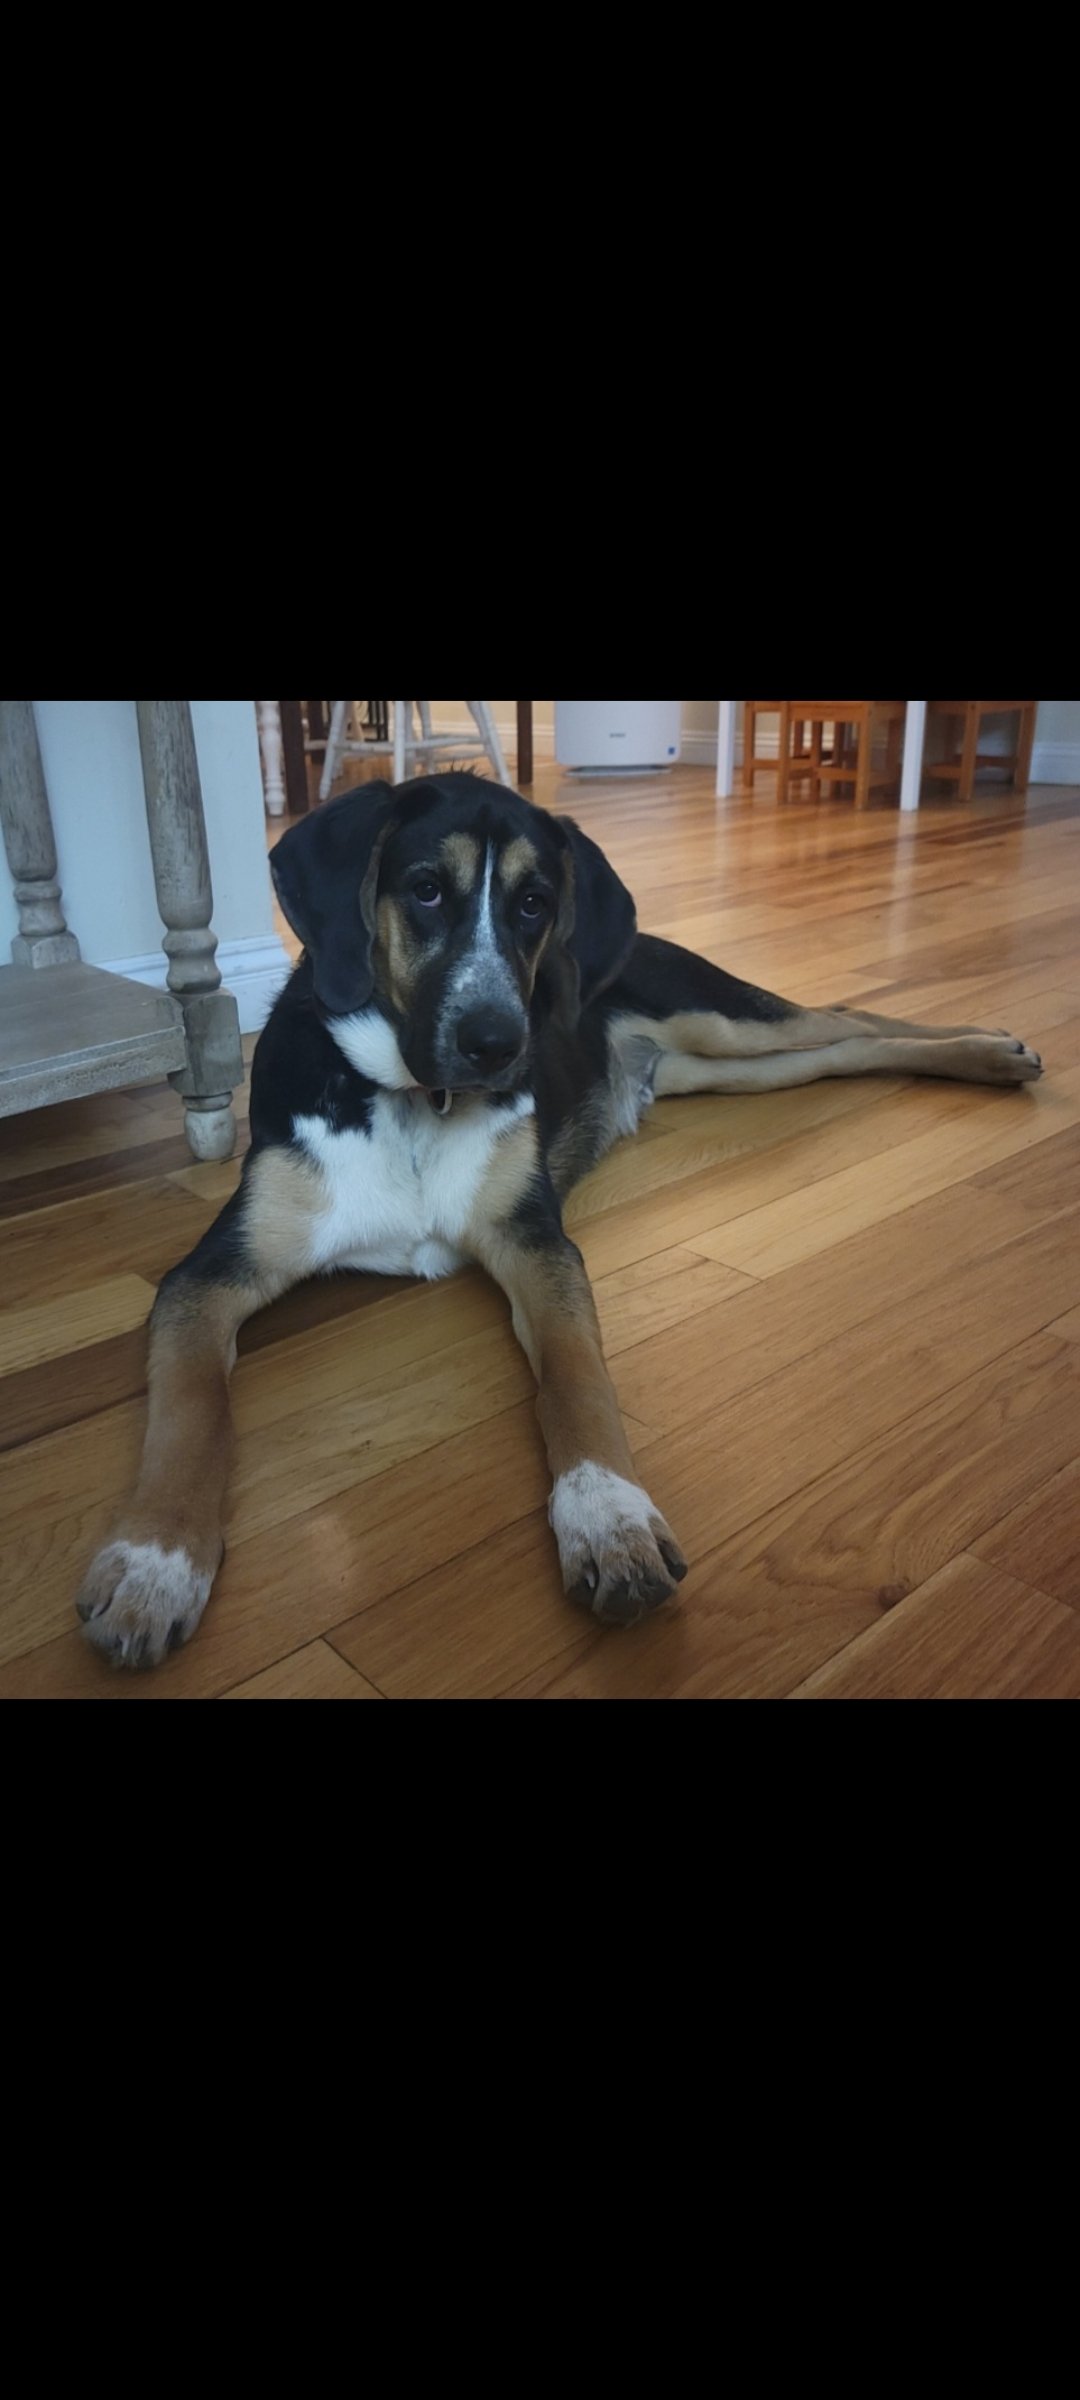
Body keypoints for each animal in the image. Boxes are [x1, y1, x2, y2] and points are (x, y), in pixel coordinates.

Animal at [74, 772, 1044, 1668]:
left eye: (535, 904)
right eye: (425, 889)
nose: (502, 1045)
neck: (413, 1105)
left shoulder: (535, 1243)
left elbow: (577, 1378)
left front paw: (609, 1519)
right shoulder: (209, 1276)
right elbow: (190, 1411)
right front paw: (155, 1562)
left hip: (722, 1023)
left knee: (844, 1016)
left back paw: (994, 1049)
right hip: (729, 1066)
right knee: (842, 1045)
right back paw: (989, 1056)